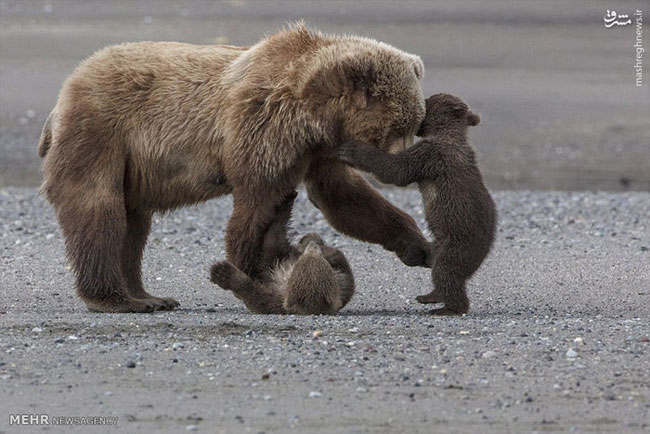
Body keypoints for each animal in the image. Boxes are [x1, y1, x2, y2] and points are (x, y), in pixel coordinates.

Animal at [38, 24, 428, 312]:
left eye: (414, 123)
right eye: (397, 126)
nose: (403, 167)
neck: (313, 114)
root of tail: (65, 89)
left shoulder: (318, 151)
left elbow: (344, 198)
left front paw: (418, 247)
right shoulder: (263, 125)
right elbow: (256, 201)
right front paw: (257, 271)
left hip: (128, 165)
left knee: (133, 225)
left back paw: (149, 296)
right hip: (101, 130)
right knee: (99, 209)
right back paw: (116, 298)